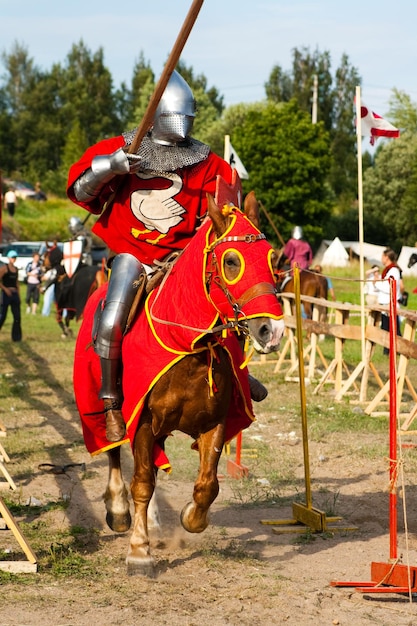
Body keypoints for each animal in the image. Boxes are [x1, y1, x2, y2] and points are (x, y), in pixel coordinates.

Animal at [73, 191, 284, 576]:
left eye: (271, 258)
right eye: (231, 261)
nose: (271, 331)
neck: (190, 348)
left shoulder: (214, 422)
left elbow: (207, 485)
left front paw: (191, 517)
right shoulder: (141, 420)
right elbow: (141, 483)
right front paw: (139, 552)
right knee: (113, 450)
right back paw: (120, 510)